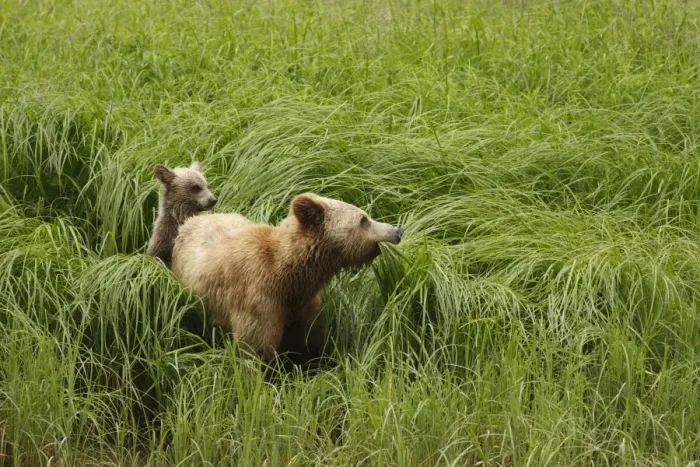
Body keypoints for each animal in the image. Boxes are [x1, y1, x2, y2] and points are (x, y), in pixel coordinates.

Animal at [170, 193, 404, 364]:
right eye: (363, 220)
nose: (397, 229)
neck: (289, 277)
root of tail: (191, 220)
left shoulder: (303, 306)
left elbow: (308, 344)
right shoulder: (258, 301)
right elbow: (256, 349)